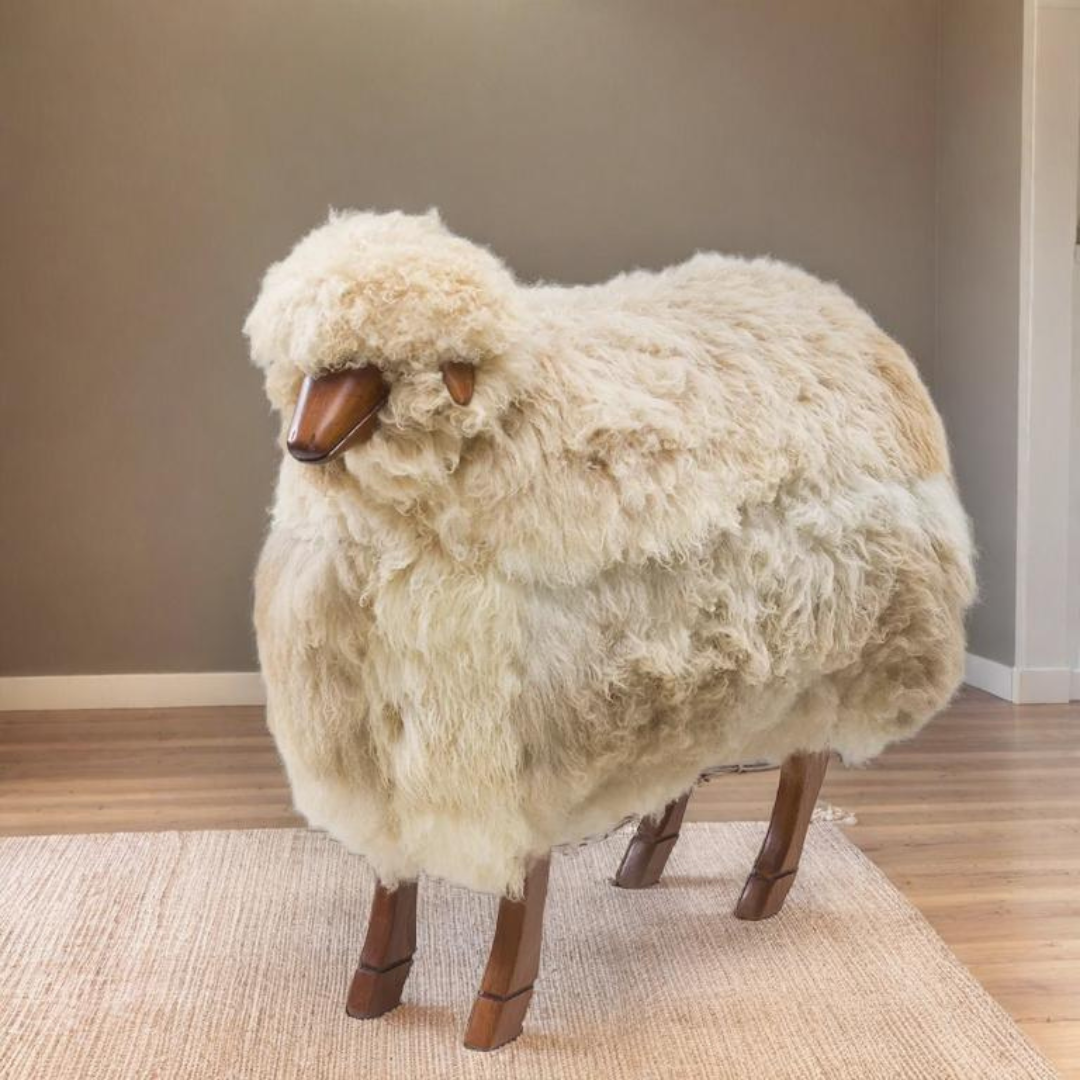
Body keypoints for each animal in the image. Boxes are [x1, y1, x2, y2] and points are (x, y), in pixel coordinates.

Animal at [244, 209, 975, 1049]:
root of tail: (841, 312)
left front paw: (497, 1011)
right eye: (311, 371)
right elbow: (392, 883)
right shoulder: (381, 731)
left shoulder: (518, 740)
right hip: (693, 660)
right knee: (686, 762)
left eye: (366, 369)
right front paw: (374, 988)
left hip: (837, 647)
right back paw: (646, 858)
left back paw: (764, 888)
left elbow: (517, 895)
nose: (303, 445)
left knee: (805, 770)